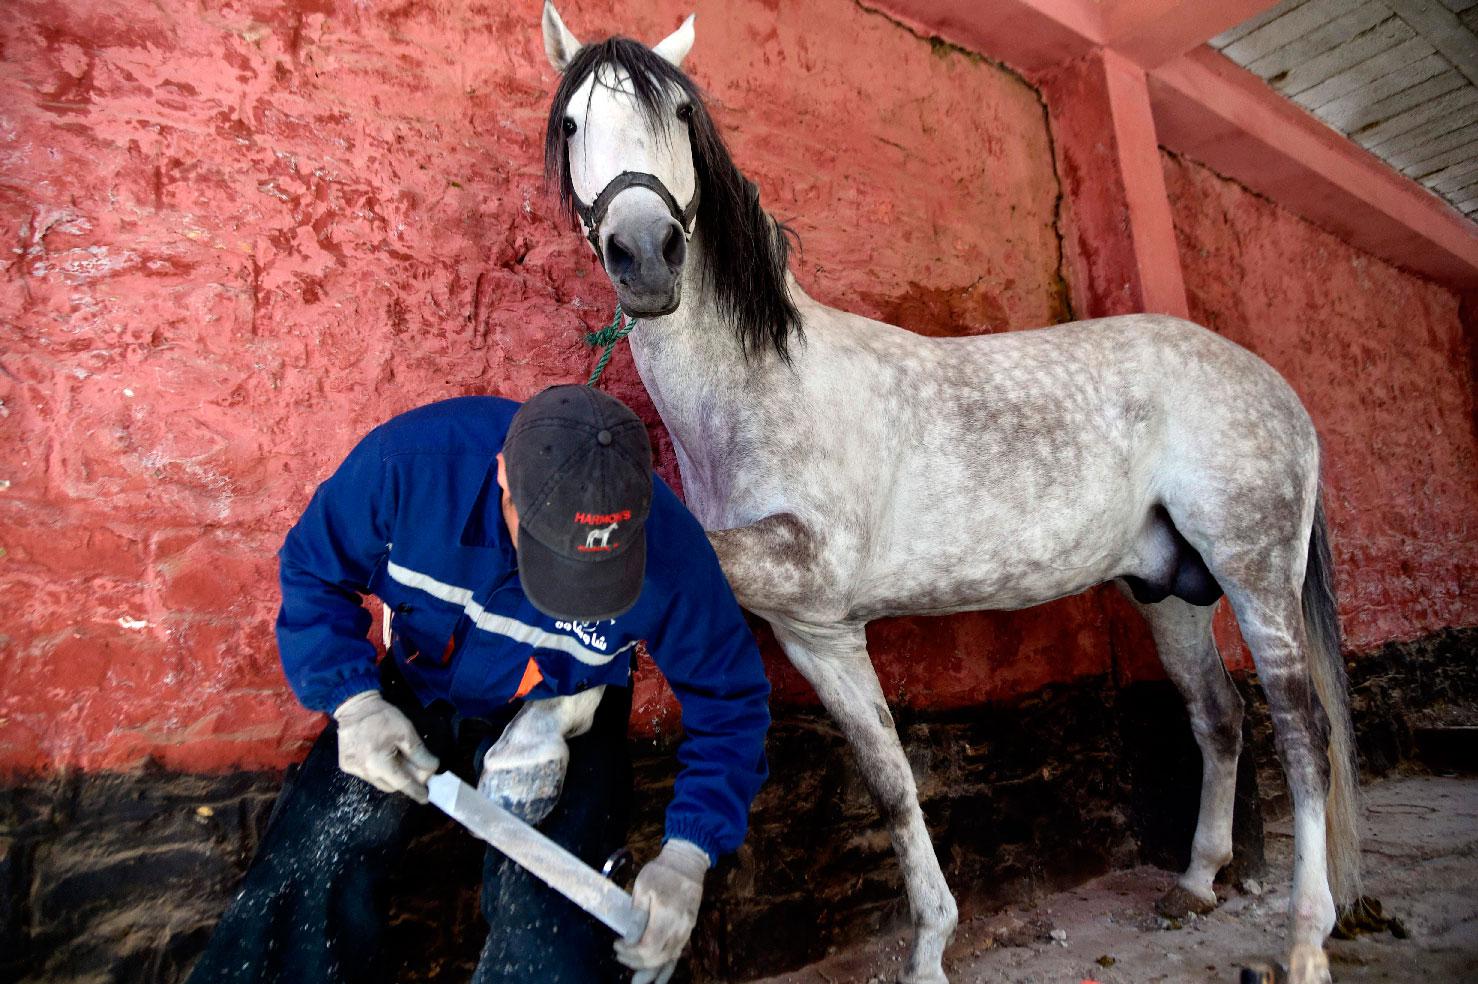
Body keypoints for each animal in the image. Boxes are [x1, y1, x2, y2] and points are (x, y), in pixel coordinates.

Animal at [540, 5, 1359, 975]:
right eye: (571, 124)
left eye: (677, 112)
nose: (645, 255)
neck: (757, 387)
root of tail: (1277, 387)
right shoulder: (817, 634)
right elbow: (891, 784)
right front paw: (931, 945)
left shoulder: (810, 570)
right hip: (1167, 593)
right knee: (1218, 717)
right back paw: (1194, 883)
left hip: (1256, 575)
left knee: (1301, 733)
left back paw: (1305, 938)